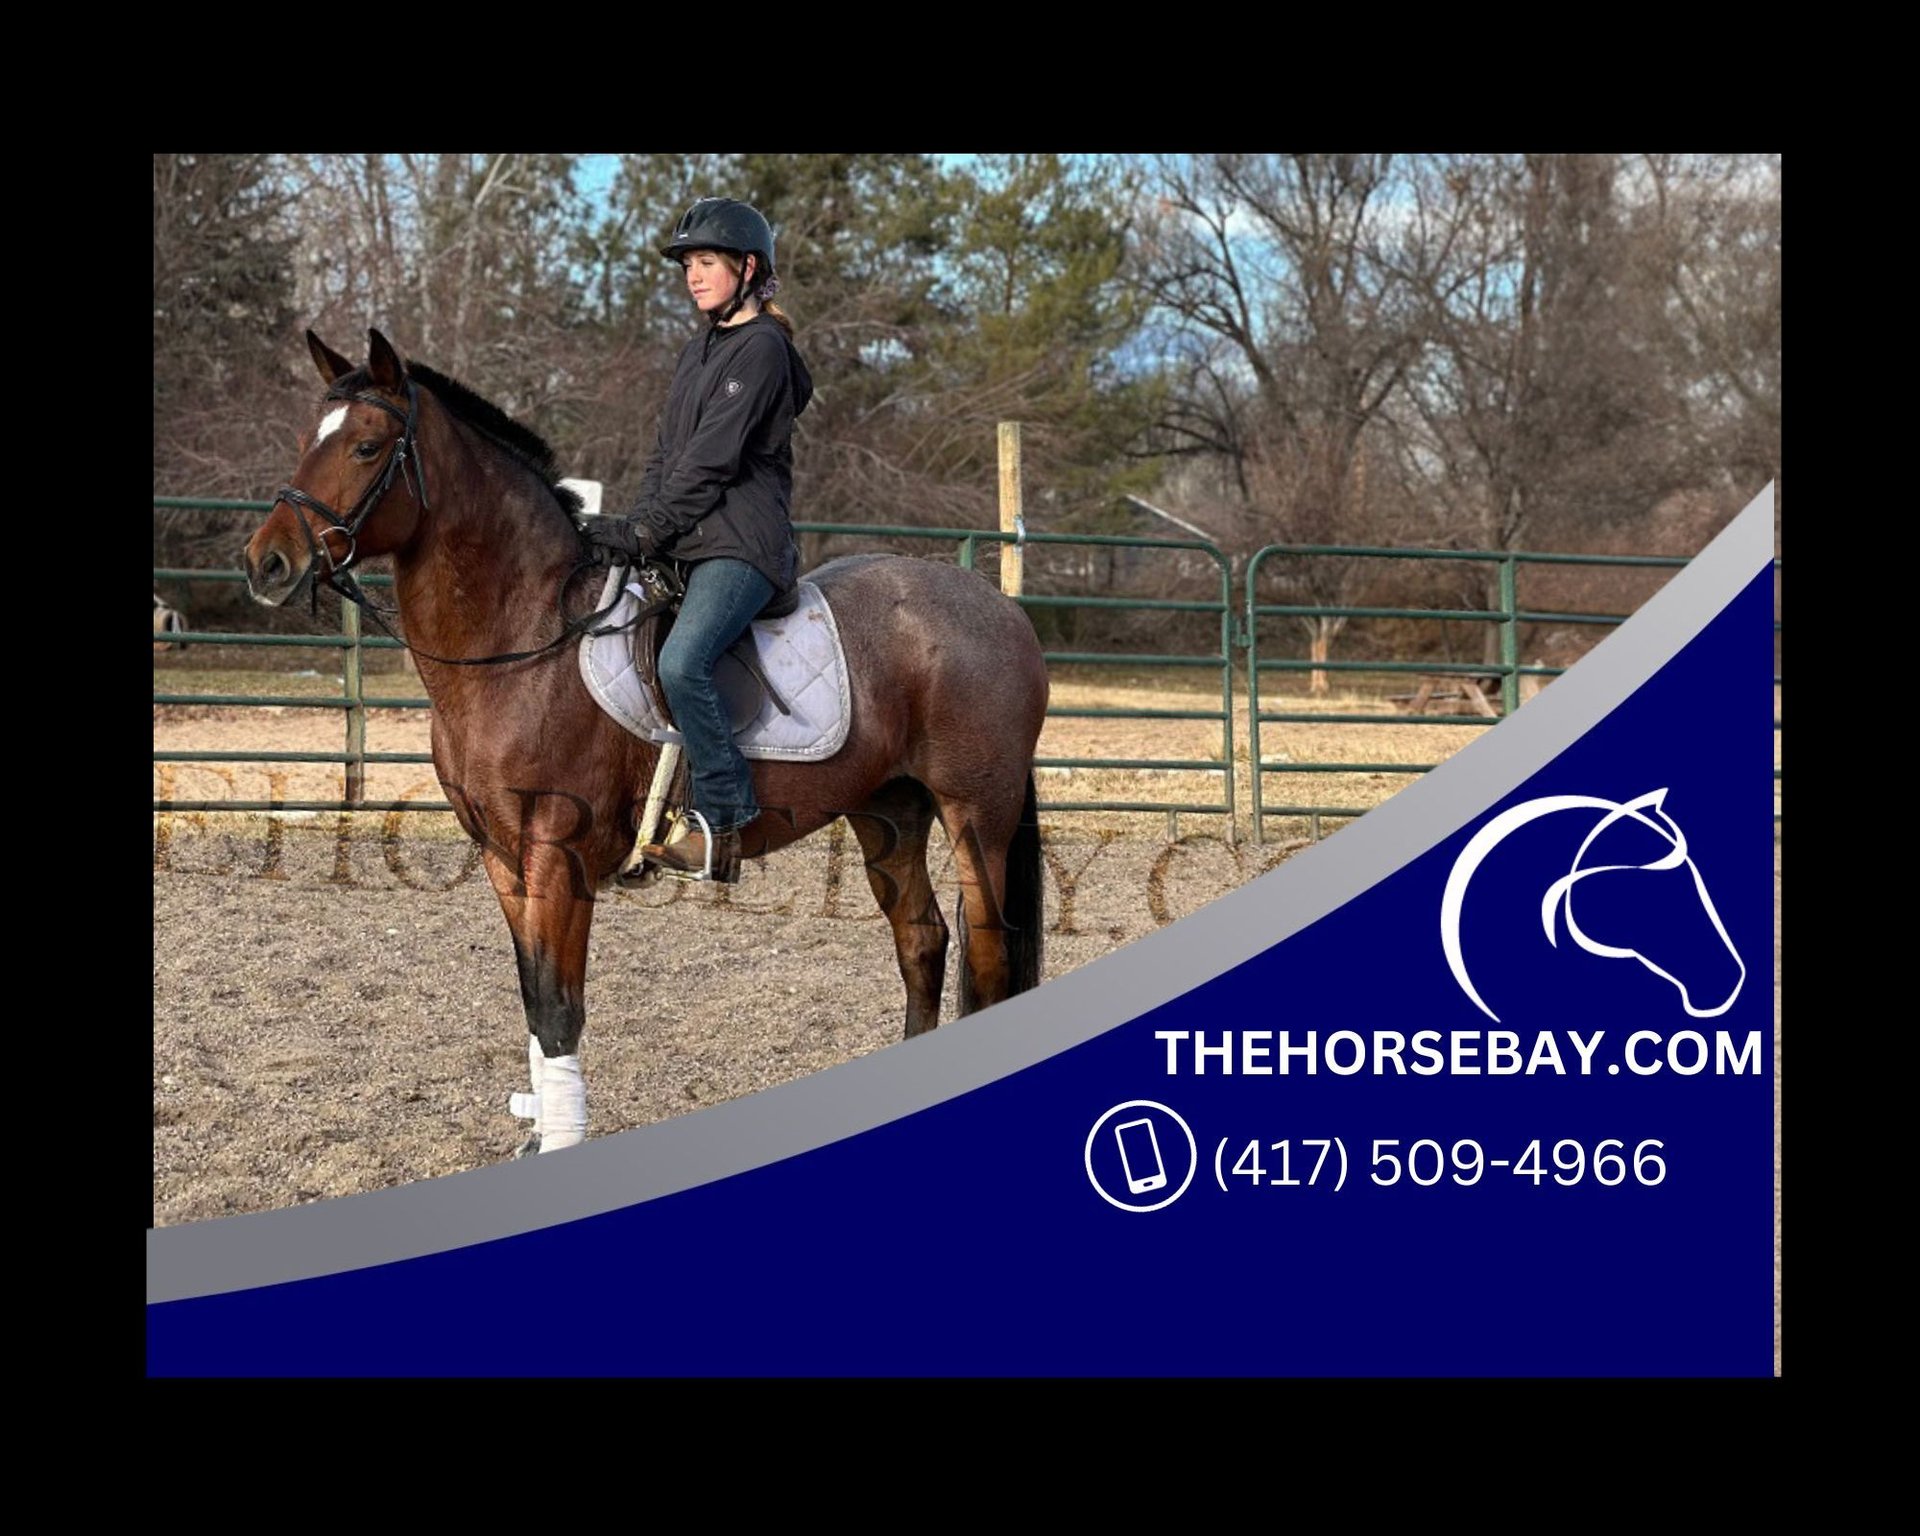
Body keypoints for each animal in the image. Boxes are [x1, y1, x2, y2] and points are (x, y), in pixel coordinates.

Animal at [242, 328, 1049, 1154]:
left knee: (986, 954)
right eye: (308, 440)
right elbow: (533, 1002)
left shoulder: (558, 856)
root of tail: (999, 608)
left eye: (367, 446)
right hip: (888, 810)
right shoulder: (503, 857)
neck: (526, 638)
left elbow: (558, 1010)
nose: (266, 561)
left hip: (974, 814)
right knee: (921, 941)